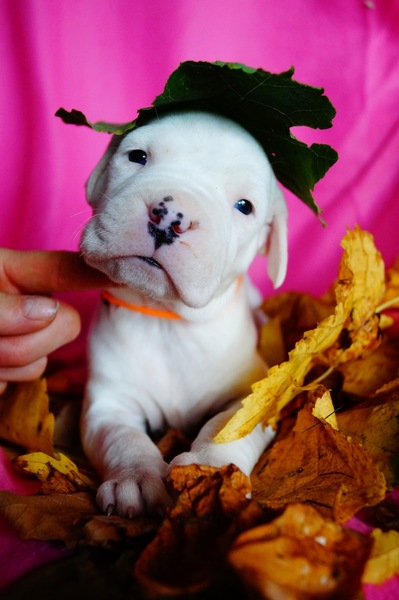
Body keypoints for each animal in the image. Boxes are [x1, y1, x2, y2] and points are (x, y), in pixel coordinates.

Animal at [80, 111, 288, 516]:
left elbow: (227, 428)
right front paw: (136, 476)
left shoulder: (251, 396)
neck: (167, 319)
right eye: (137, 157)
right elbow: (121, 436)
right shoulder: (109, 401)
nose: (170, 217)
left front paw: (211, 473)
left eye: (244, 206)